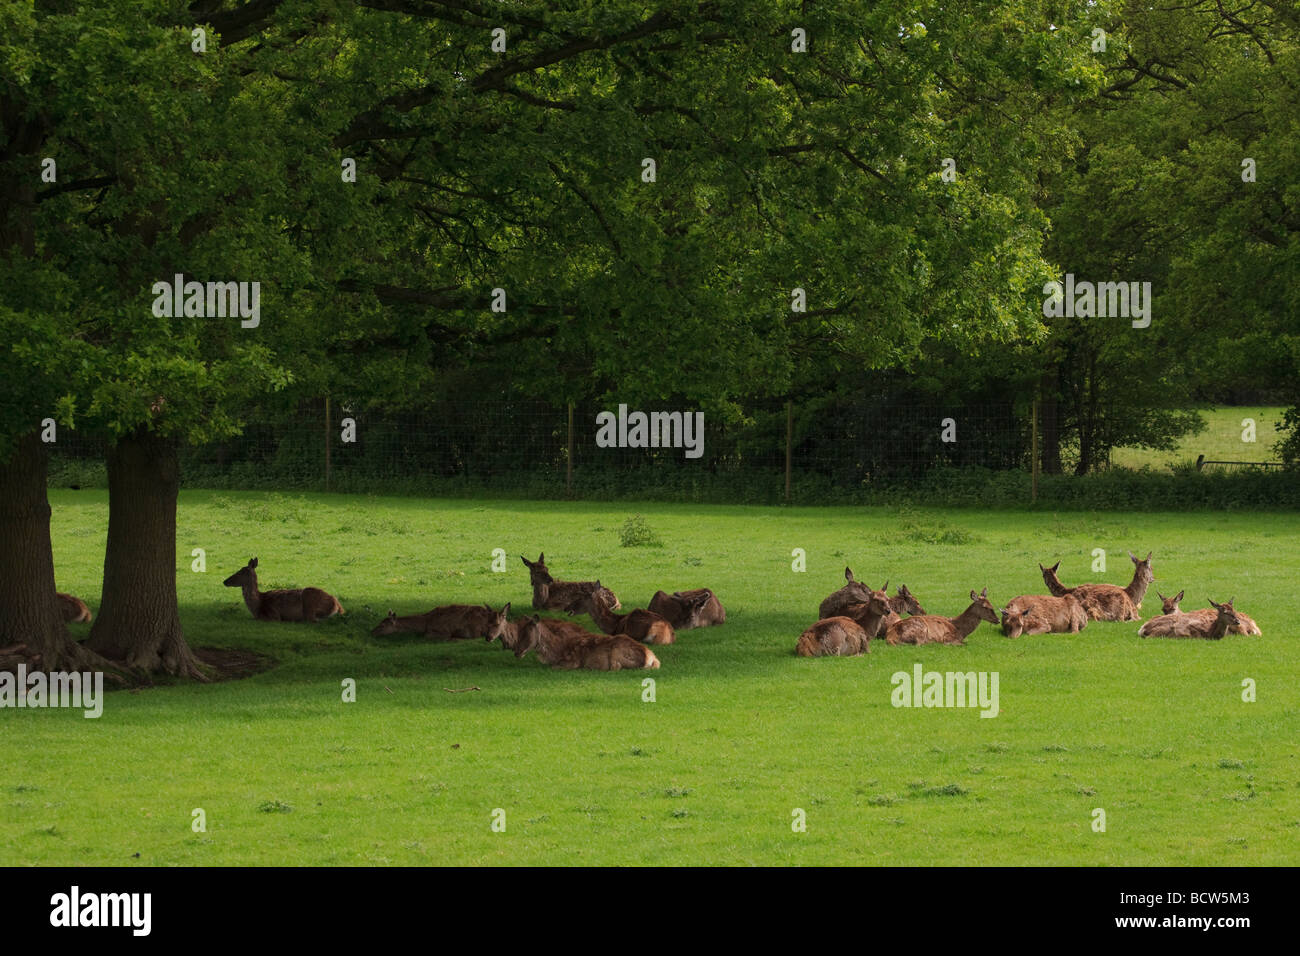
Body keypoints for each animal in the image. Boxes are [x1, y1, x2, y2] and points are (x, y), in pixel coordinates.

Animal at [374, 606, 509, 642]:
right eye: (380, 622)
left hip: (476, 629)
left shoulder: (442, 631)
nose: (372, 632)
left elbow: (425, 636)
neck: (425, 623)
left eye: (382, 625)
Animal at [496, 613, 660, 671]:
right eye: (519, 630)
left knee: (615, 667)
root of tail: (651, 658)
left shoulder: (572, 662)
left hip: (616, 653)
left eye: (527, 632)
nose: (516, 651)